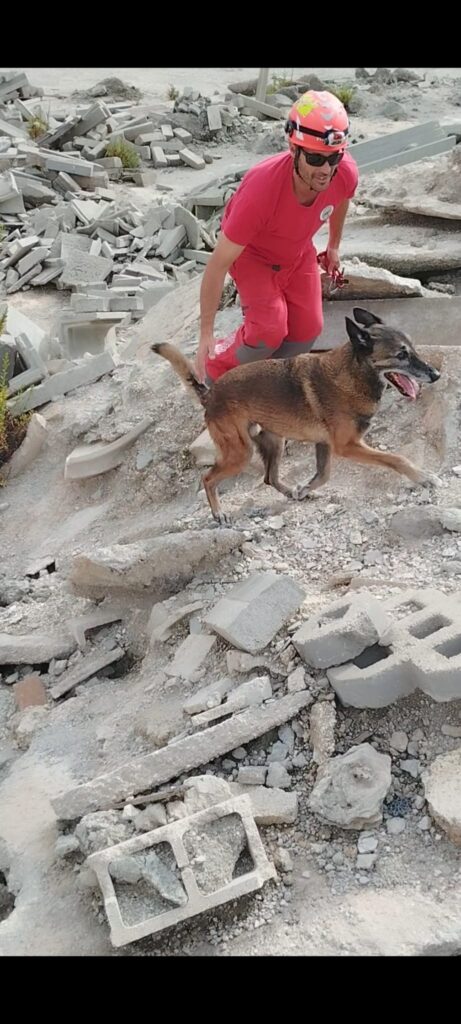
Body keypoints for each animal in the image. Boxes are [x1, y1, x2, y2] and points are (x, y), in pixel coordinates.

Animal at [151, 307, 438, 524]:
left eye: (413, 349)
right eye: (400, 355)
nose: (436, 374)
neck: (353, 373)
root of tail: (210, 394)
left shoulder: (325, 444)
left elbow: (323, 475)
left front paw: (304, 489)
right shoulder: (347, 445)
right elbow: (396, 458)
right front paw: (423, 477)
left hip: (274, 442)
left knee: (269, 477)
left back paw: (290, 493)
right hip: (240, 453)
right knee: (208, 478)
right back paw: (219, 513)